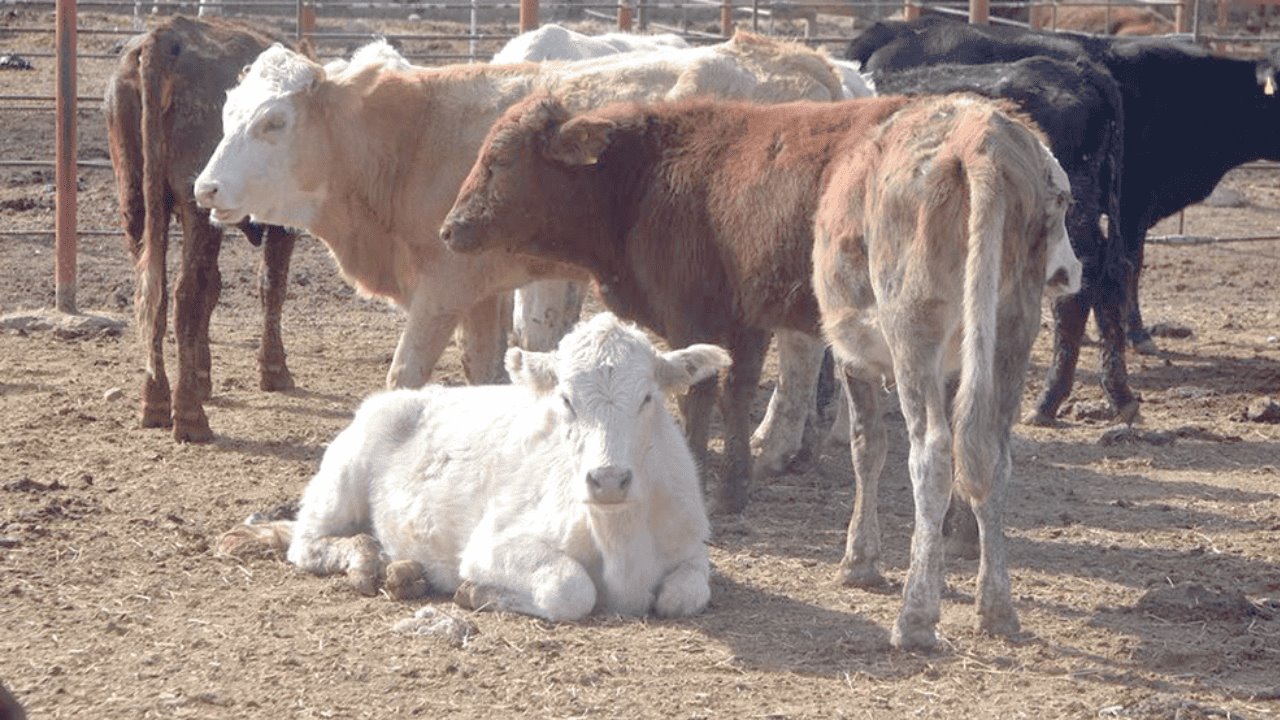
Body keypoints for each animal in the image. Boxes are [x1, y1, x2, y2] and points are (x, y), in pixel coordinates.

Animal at [104, 16, 299, 440]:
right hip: (196, 208)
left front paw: (202, 376)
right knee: (184, 296)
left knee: (155, 295)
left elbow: (215, 287)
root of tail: (164, 39)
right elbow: (271, 285)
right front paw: (274, 370)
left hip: (136, 202)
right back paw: (190, 417)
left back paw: (156, 402)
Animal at [225, 311, 727, 620]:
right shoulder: (491, 546)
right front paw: (476, 593)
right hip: (339, 482)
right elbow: (570, 587)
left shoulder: (690, 549)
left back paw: (402, 570)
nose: (608, 480)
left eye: (648, 398)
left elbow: (685, 593)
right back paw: (367, 560)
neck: (621, 539)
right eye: (566, 399)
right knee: (308, 542)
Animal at [440, 92, 1080, 648]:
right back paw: (995, 602)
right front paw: (736, 486)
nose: (450, 228)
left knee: (932, 454)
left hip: (911, 336)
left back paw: (916, 617)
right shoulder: (748, 320)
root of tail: (978, 134)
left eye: (499, 158)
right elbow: (739, 391)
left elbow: (719, 401)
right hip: (1007, 333)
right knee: (989, 450)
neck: (649, 173)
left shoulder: (714, 314)